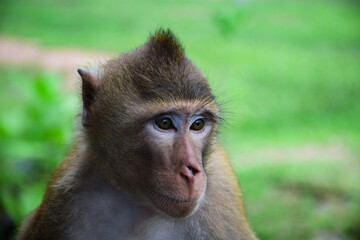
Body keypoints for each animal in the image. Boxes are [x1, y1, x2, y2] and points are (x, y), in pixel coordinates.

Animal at [17, 29, 258, 239]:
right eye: (164, 123)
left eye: (198, 125)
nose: (192, 171)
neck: (140, 207)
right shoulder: (64, 196)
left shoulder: (221, 196)